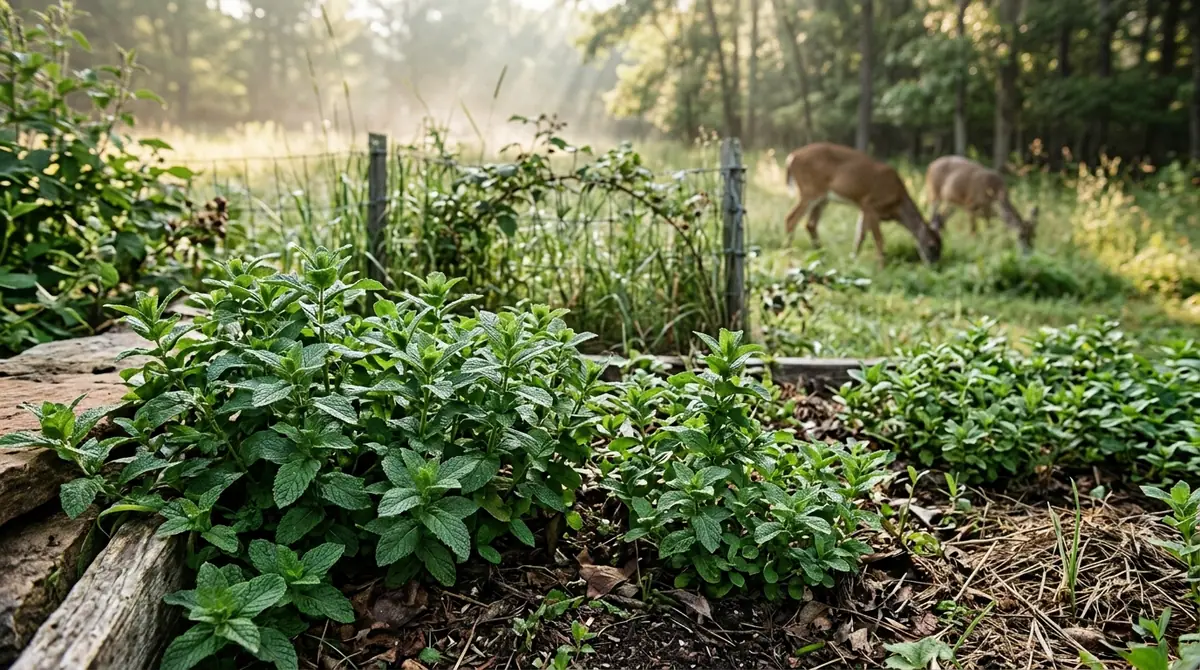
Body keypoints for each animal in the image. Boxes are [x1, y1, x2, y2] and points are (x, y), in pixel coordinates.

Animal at [784, 143, 942, 265]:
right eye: (932, 246)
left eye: (941, 246)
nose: (934, 266)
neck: (897, 204)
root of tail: (791, 157)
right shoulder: (871, 204)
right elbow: (879, 239)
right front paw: (881, 267)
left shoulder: (863, 207)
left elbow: (860, 235)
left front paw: (853, 260)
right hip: (811, 191)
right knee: (791, 219)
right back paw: (789, 256)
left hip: (823, 198)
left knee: (810, 224)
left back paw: (821, 256)